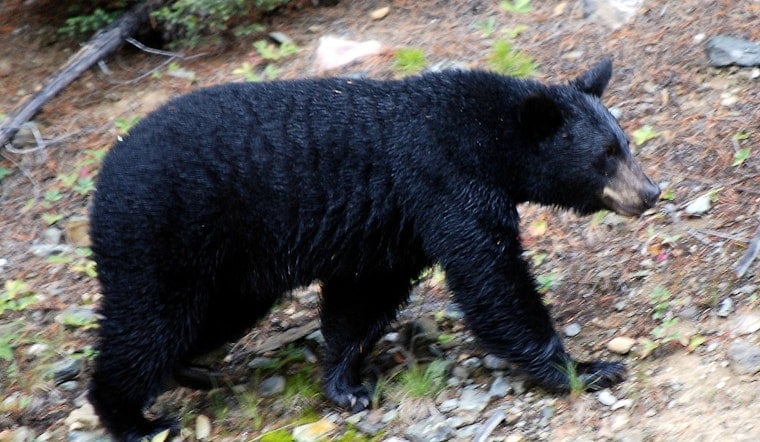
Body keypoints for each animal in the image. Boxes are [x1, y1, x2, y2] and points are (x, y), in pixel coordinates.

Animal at [87, 58, 660, 441]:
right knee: (148, 322)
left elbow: (363, 300)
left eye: (625, 143)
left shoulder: (396, 227)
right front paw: (586, 368)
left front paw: (345, 385)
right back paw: (134, 419)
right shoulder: (445, 182)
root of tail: (106, 171)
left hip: (230, 269)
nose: (650, 192)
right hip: (162, 233)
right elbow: (493, 281)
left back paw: (191, 370)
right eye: (605, 156)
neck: (489, 139)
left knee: (209, 318)